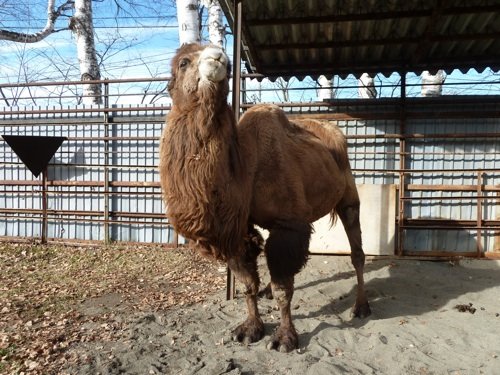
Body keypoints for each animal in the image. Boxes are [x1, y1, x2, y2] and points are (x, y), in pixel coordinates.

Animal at [160, 43, 372, 352]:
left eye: (229, 65)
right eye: (184, 62)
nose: (219, 56)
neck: (245, 168)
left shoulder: (289, 225)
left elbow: (285, 289)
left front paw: (285, 337)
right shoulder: (238, 229)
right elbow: (247, 284)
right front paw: (250, 328)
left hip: (348, 195)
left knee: (357, 251)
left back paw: (362, 307)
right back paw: (268, 292)